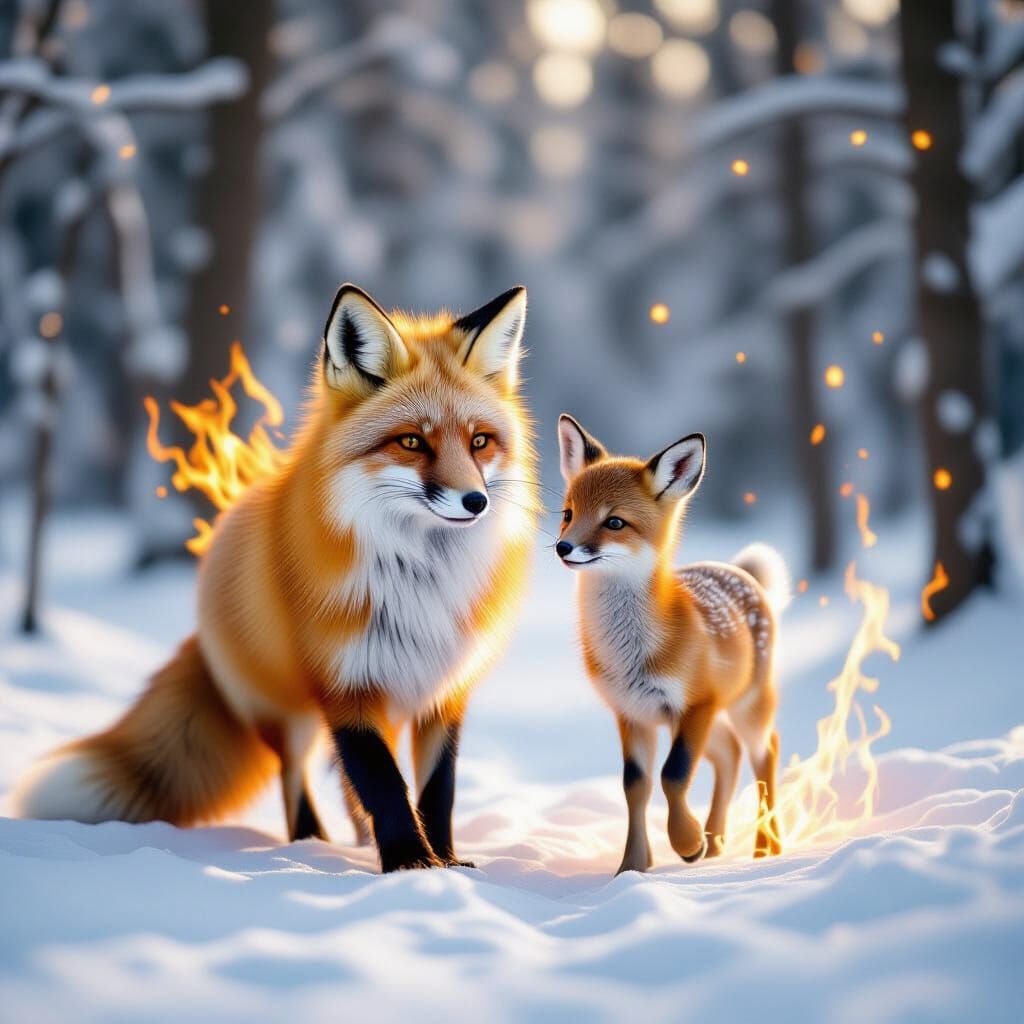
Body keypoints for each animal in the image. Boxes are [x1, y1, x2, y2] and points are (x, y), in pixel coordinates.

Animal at [14, 283, 538, 873]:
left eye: (479, 442)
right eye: (411, 443)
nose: (476, 501)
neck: (421, 579)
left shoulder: (443, 694)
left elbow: (436, 790)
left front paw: (445, 862)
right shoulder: (345, 686)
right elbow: (384, 786)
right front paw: (409, 863)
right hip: (291, 714)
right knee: (296, 775)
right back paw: (309, 844)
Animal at [554, 415, 789, 873]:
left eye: (614, 522)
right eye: (568, 514)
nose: (563, 547)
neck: (631, 654)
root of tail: (738, 572)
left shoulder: (697, 704)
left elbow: (673, 776)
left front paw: (686, 841)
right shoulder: (632, 713)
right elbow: (636, 786)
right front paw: (632, 866)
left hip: (741, 709)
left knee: (764, 755)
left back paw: (764, 850)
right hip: (701, 722)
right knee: (730, 754)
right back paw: (716, 843)